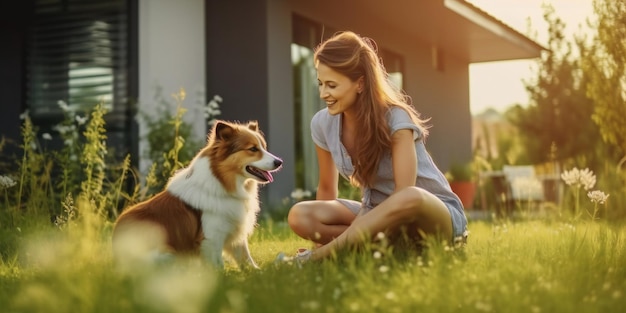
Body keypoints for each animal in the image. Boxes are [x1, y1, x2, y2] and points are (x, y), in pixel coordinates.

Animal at [112, 119, 282, 268]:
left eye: (264, 147)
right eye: (253, 149)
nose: (279, 162)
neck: (222, 181)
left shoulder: (234, 230)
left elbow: (246, 258)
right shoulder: (212, 238)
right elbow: (218, 265)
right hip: (168, 254)